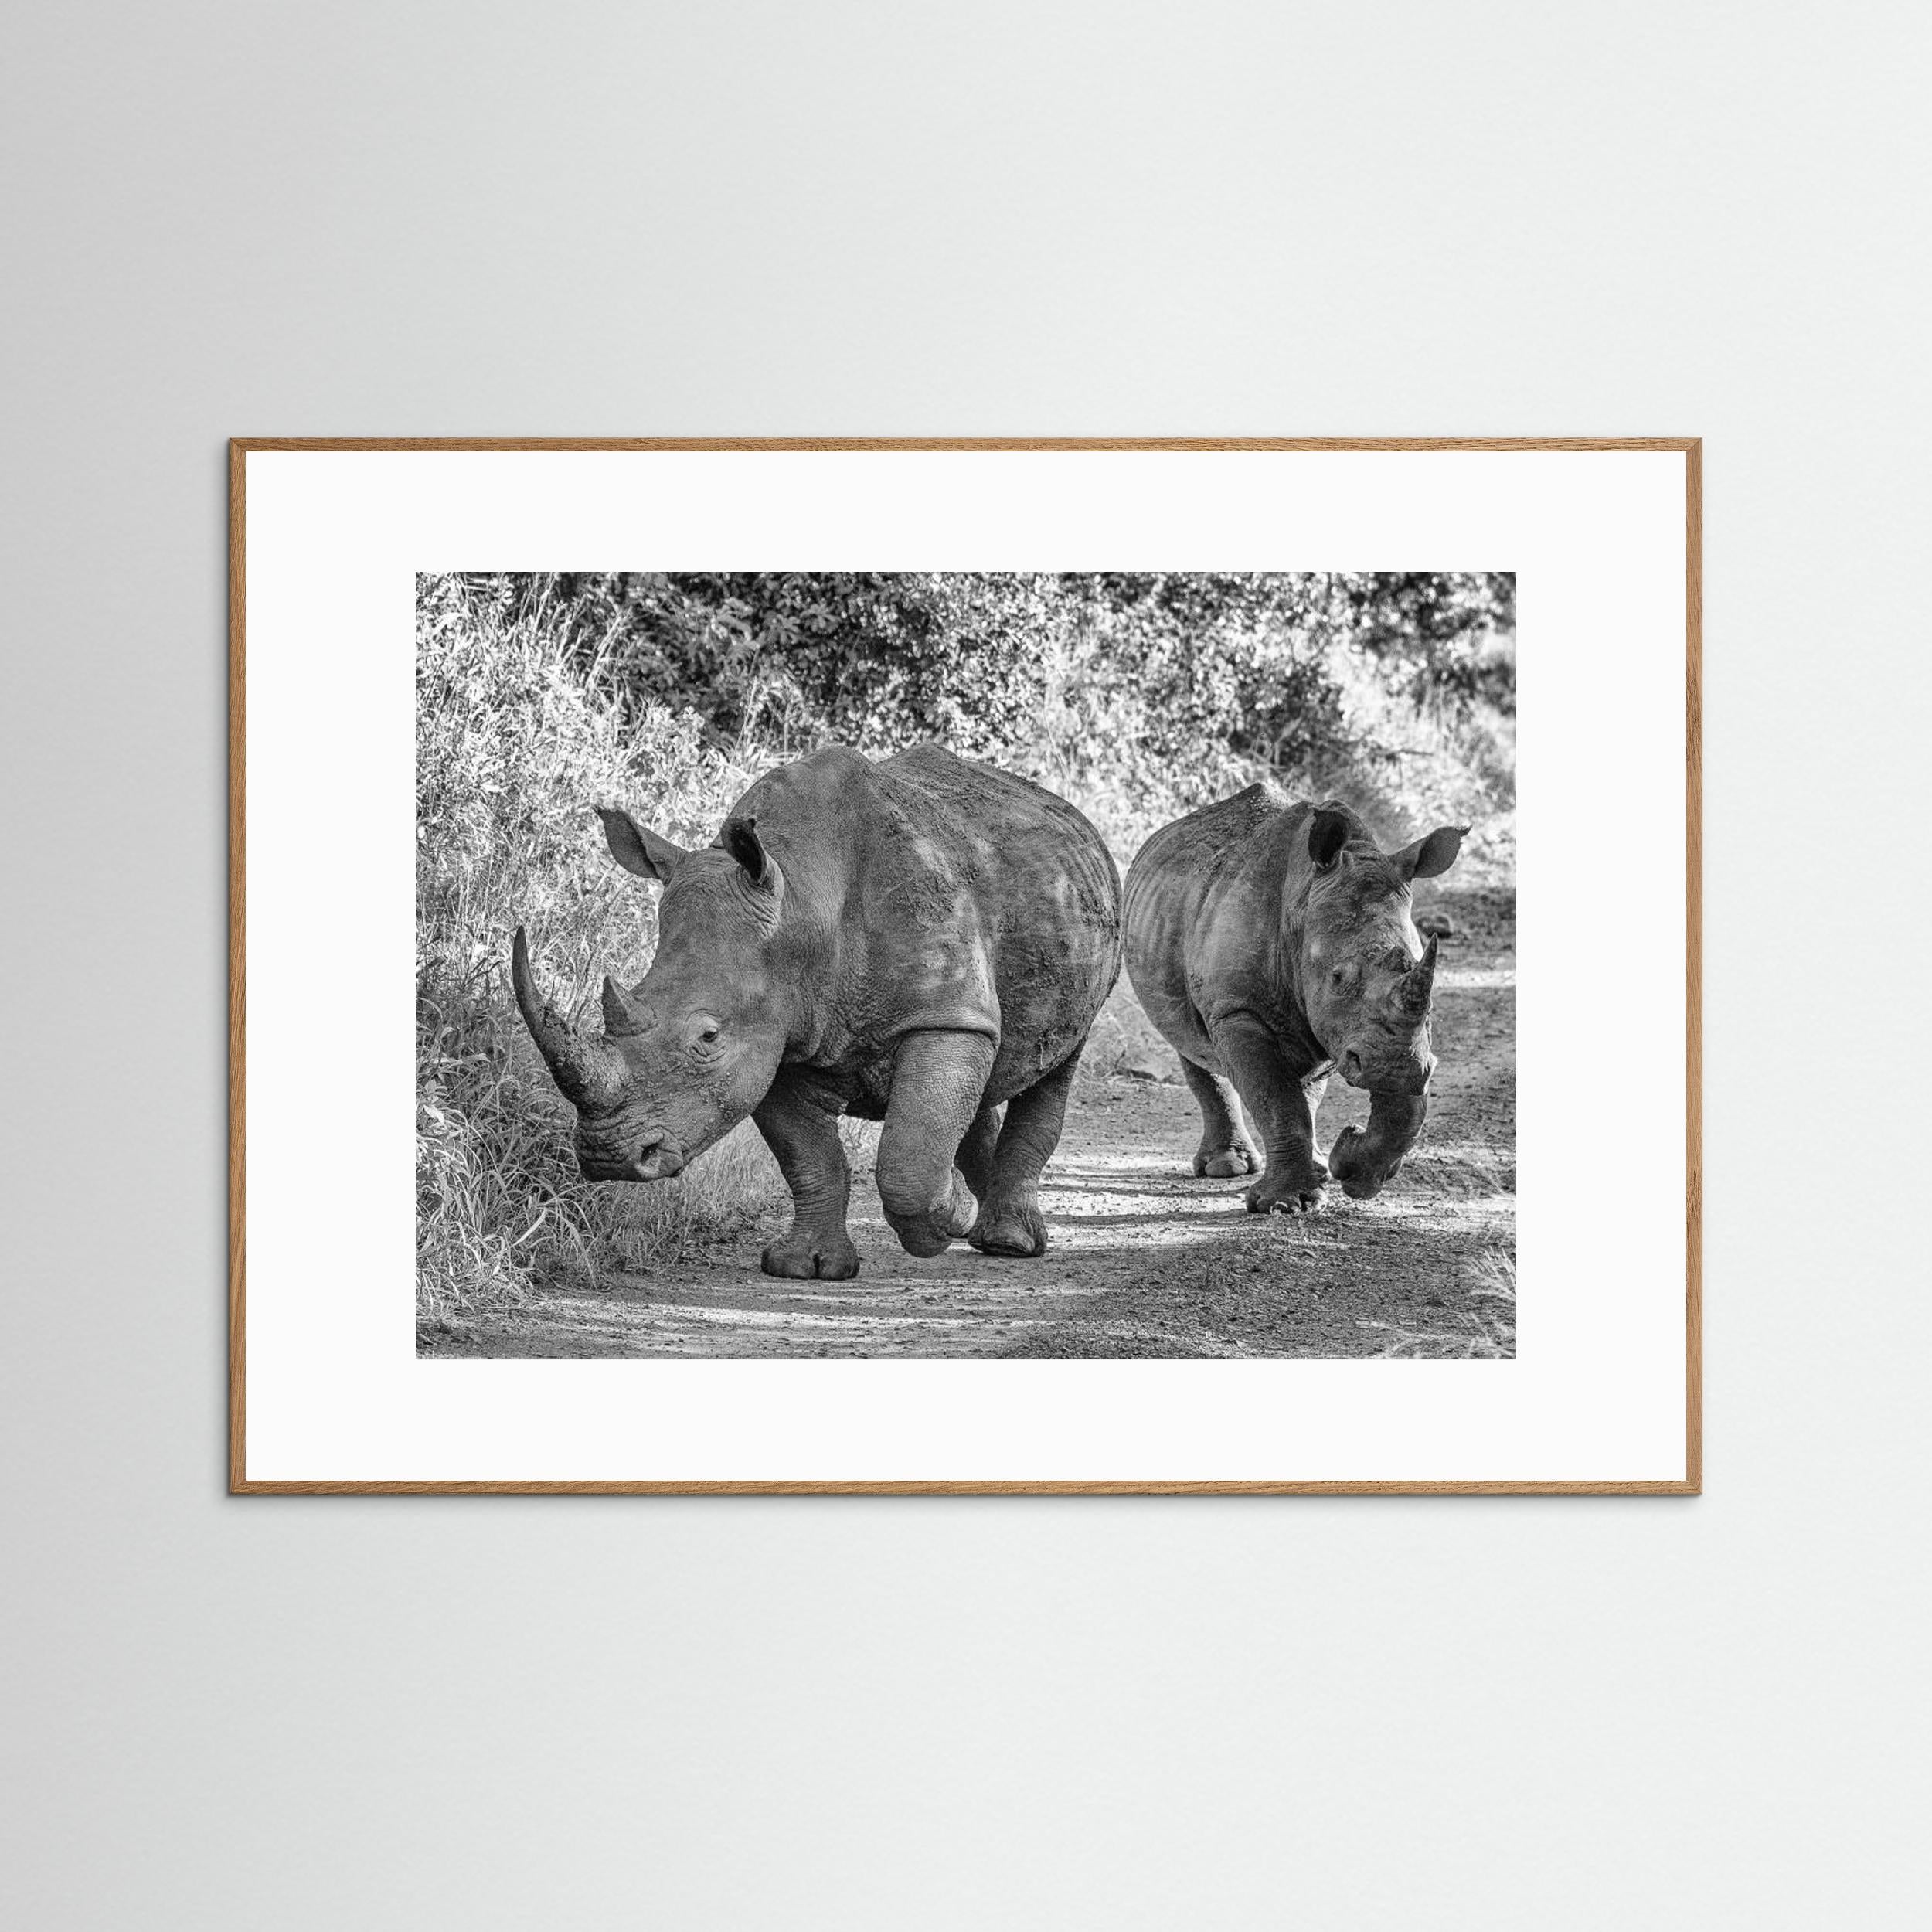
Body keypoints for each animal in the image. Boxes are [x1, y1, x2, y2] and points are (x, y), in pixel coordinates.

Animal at [511, 742, 1122, 1278]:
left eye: (708, 1038)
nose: (608, 1155)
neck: (803, 902)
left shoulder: (940, 1013)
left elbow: (908, 1160)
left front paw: (945, 1216)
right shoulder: (777, 1034)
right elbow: (809, 1158)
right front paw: (807, 1267)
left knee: (1055, 1063)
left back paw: (1007, 1242)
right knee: (992, 1063)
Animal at [1123, 787, 1466, 1213]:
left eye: (1429, 997)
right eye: (1338, 978)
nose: (1398, 1068)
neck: (1302, 903)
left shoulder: (1350, 1030)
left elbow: (1378, 1109)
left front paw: (1347, 1167)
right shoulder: (1237, 1009)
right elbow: (1275, 1098)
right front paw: (1285, 1204)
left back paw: (1312, 1165)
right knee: (1189, 1042)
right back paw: (1226, 1168)